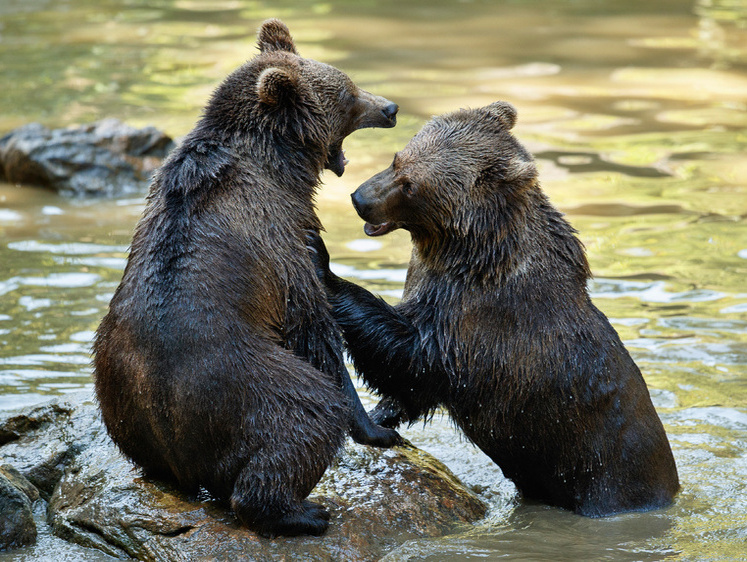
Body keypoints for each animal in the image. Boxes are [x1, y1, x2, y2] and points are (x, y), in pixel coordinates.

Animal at [94, 17, 404, 536]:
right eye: (347, 93)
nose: (390, 107)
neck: (280, 163)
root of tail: (177, 448)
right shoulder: (278, 233)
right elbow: (313, 325)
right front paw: (379, 428)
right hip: (246, 383)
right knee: (305, 415)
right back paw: (302, 511)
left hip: (115, 388)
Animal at [306, 101, 680, 516]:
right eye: (396, 158)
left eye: (411, 184)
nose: (360, 199)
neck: (466, 252)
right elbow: (411, 386)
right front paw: (381, 416)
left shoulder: (478, 316)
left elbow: (415, 356)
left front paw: (322, 261)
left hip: (607, 472)